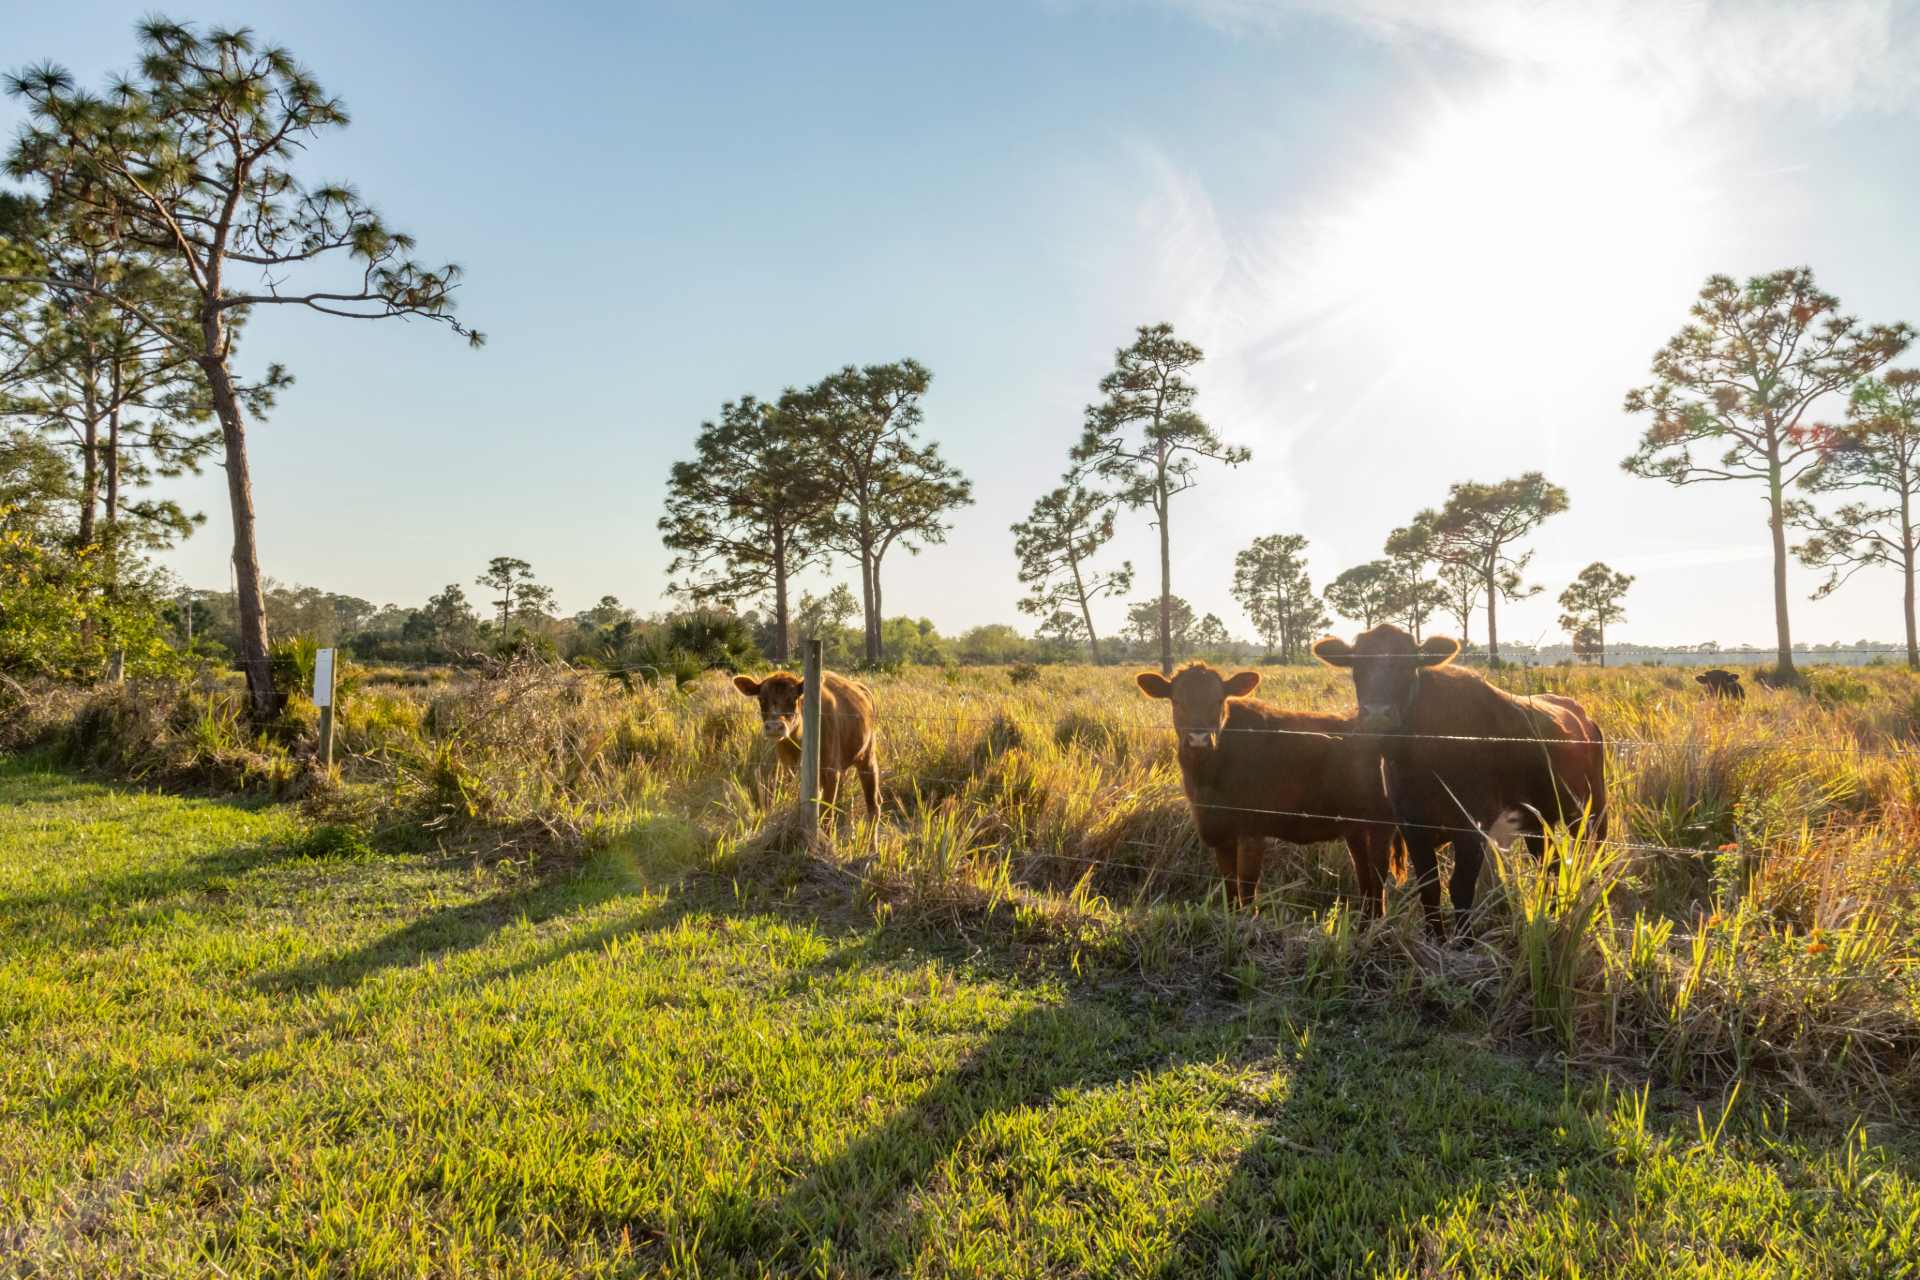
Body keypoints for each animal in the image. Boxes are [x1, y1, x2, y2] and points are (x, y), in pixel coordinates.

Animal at [732, 669, 880, 834]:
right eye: (761, 699)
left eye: (793, 698)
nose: (775, 726)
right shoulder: (788, 769)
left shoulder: (830, 772)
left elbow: (826, 817)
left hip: (867, 756)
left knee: (873, 804)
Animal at [1137, 663, 1401, 914]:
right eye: (1177, 701)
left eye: (1218, 700)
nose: (1198, 739)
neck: (1208, 778)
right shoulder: (1219, 831)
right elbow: (1230, 886)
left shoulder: (1252, 830)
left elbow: (1247, 886)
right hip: (1355, 828)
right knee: (1365, 877)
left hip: (1381, 826)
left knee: (1378, 881)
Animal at [1312, 625, 1607, 937]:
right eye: (1357, 666)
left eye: (1409, 665)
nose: (1378, 713)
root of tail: (1583, 717)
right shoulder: (1412, 826)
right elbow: (1430, 888)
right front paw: (1436, 937)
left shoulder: (1471, 827)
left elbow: (1461, 889)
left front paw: (1464, 941)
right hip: (1538, 821)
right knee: (1548, 865)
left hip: (1591, 813)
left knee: (1594, 859)